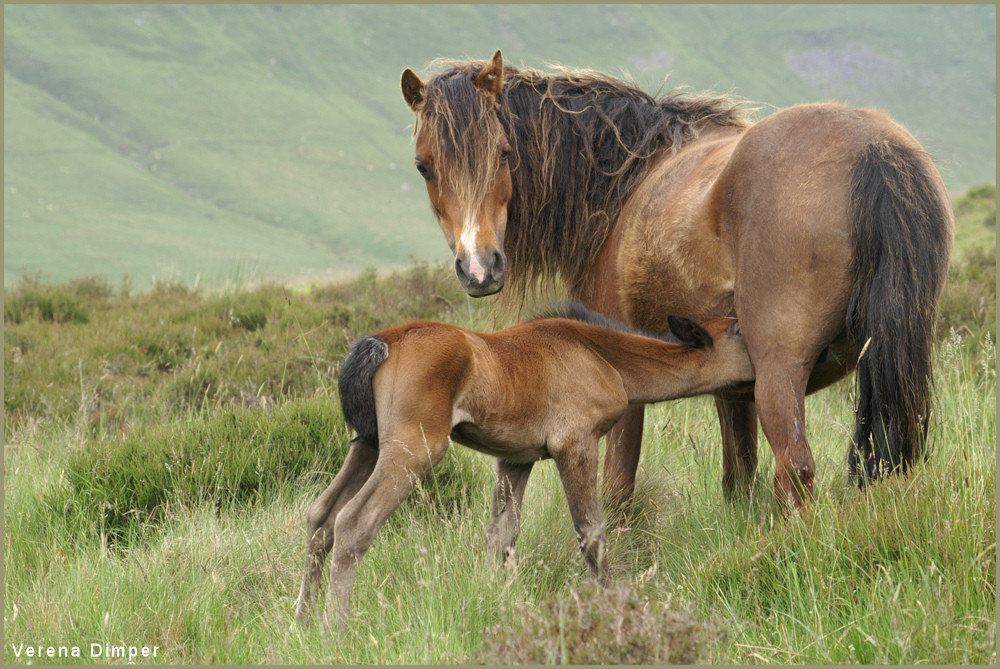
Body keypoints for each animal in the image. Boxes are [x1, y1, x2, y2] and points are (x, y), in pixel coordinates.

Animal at [292, 302, 752, 628]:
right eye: (738, 329)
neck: (600, 355)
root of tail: (383, 340)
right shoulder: (575, 444)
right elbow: (592, 533)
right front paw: (611, 603)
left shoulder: (515, 460)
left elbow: (501, 536)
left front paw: (494, 600)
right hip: (412, 448)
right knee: (353, 523)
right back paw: (336, 629)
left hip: (367, 445)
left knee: (321, 517)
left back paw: (302, 622)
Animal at [398, 51, 952, 512]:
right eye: (424, 168)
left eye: (506, 154)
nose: (479, 269)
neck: (623, 185)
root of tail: (874, 148)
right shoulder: (732, 384)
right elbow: (738, 476)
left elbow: (617, 488)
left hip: (781, 371)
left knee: (795, 469)